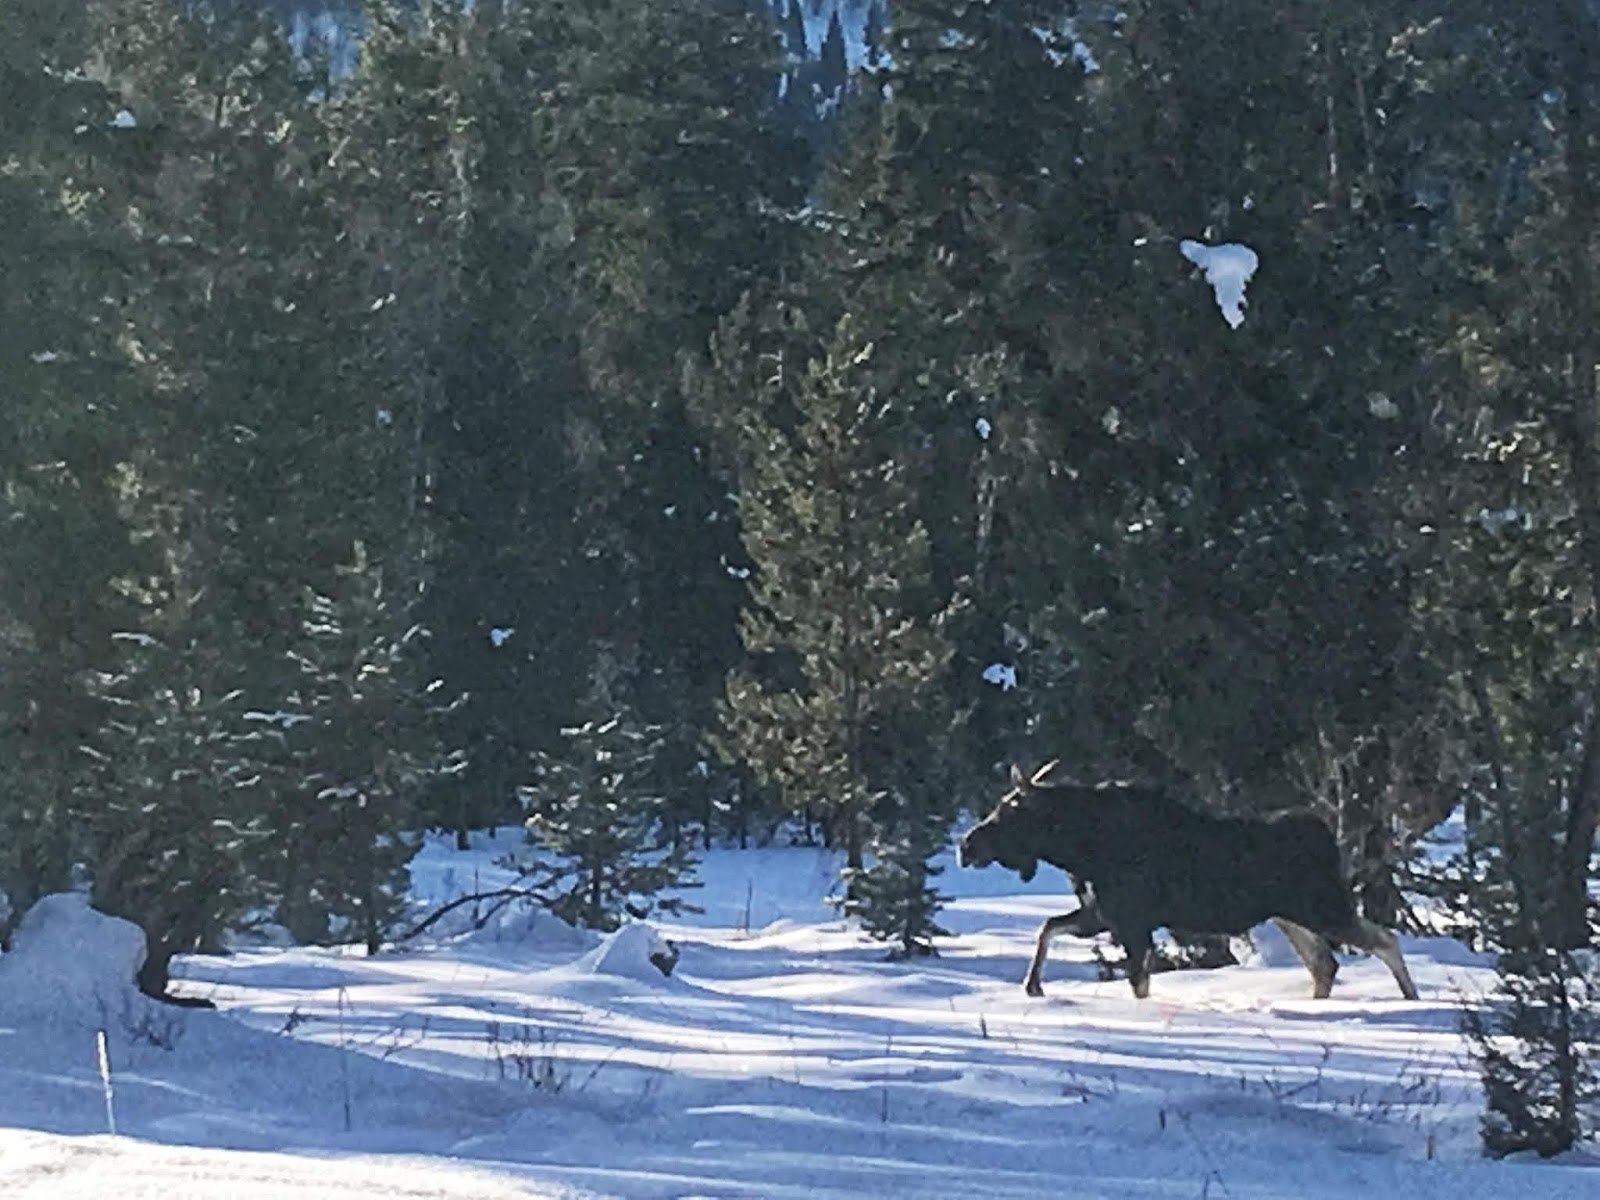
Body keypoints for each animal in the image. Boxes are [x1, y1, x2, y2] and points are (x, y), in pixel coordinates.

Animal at [953, 761, 1420, 1004]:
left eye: (1010, 811)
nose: (966, 844)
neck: (1078, 848)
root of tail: (1326, 837)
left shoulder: (1129, 919)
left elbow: (1138, 981)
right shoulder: (1100, 914)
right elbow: (1047, 927)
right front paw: (1033, 985)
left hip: (1322, 906)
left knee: (1383, 940)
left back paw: (1413, 1000)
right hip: (1292, 915)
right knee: (1326, 964)